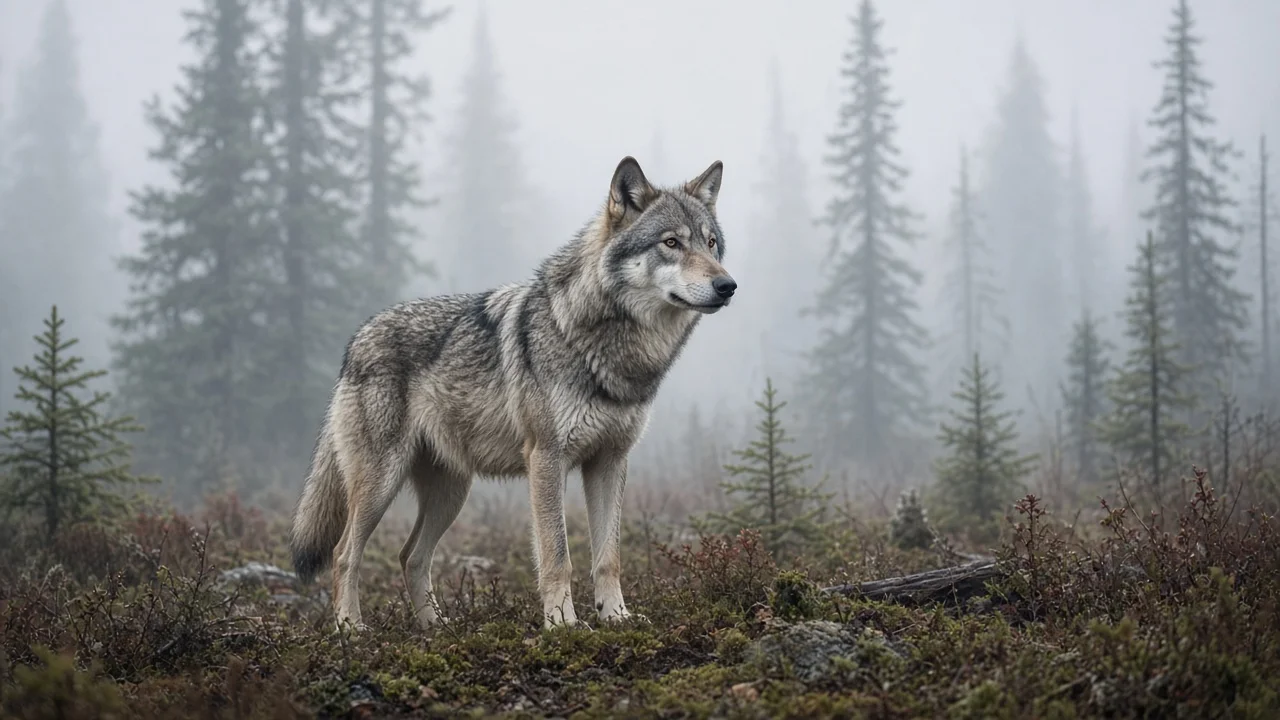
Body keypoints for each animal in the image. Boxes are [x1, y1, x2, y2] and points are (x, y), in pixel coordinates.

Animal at [289, 156, 736, 630]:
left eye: (710, 244)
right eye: (671, 242)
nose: (728, 286)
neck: (607, 347)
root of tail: (357, 337)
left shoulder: (610, 461)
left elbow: (608, 557)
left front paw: (617, 618)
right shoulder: (547, 458)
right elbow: (558, 555)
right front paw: (563, 625)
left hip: (451, 493)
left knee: (410, 556)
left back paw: (436, 628)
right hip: (381, 484)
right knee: (343, 554)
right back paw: (351, 629)